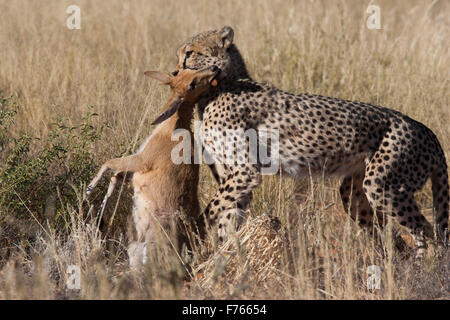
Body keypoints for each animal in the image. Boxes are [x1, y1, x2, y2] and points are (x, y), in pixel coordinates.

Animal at [171, 26, 446, 258]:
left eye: (190, 53)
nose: (174, 72)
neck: (219, 86)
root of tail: (424, 128)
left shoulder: (245, 172)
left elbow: (212, 209)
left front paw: (193, 235)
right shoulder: (234, 175)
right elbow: (228, 217)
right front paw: (224, 258)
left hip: (382, 185)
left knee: (428, 230)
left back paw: (427, 269)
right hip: (355, 192)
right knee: (391, 233)